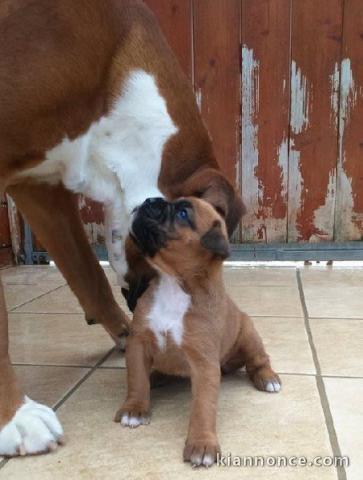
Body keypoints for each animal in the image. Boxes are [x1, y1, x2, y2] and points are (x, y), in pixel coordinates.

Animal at [116, 197, 282, 466]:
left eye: (183, 213)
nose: (150, 200)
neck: (175, 284)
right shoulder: (138, 343)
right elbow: (137, 379)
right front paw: (135, 409)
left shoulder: (203, 362)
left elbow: (203, 406)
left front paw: (202, 444)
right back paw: (157, 377)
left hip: (248, 333)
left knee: (258, 360)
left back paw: (268, 378)